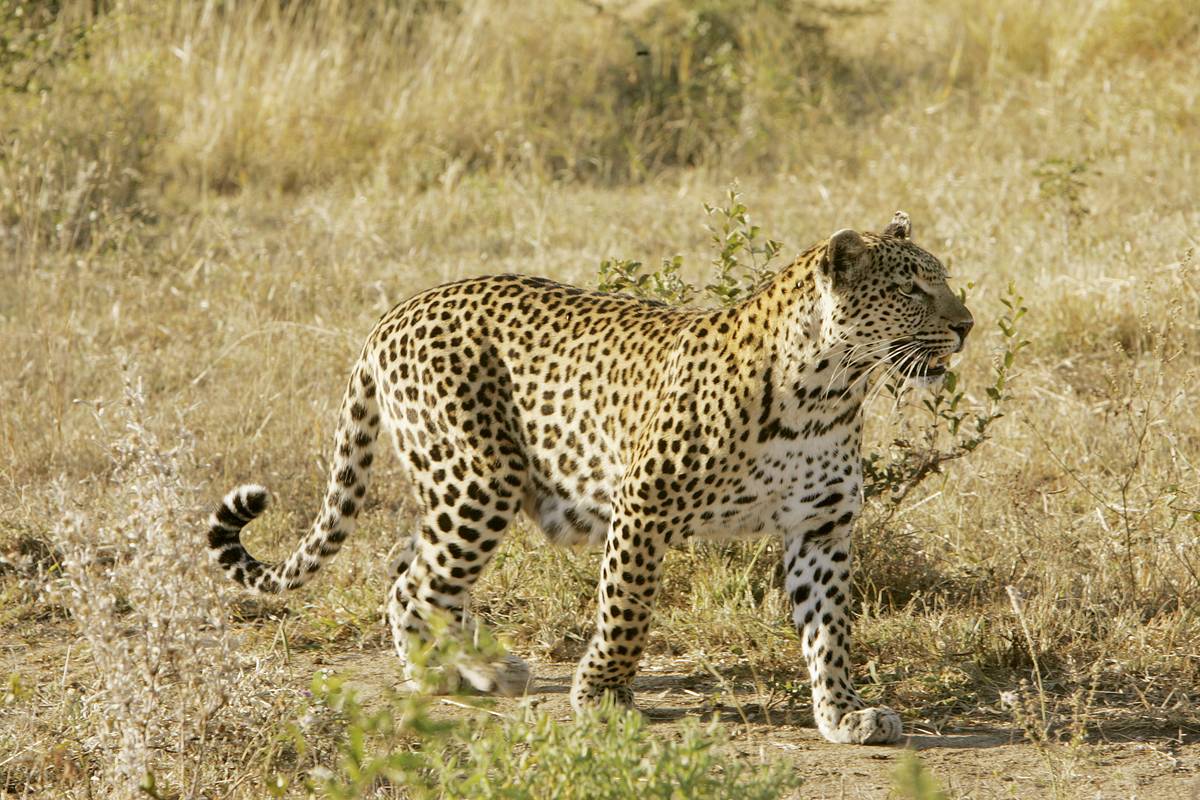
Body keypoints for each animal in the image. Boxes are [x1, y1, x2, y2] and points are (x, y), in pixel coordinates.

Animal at [207, 210, 972, 745]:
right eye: (912, 288)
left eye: (942, 279)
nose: (966, 324)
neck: (828, 390)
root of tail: (394, 313)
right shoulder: (644, 503)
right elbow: (626, 608)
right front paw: (602, 696)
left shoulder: (822, 527)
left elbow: (829, 631)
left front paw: (843, 714)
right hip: (479, 479)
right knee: (412, 583)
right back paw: (451, 674)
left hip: (457, 486)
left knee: (409, 563)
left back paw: (470, 665)